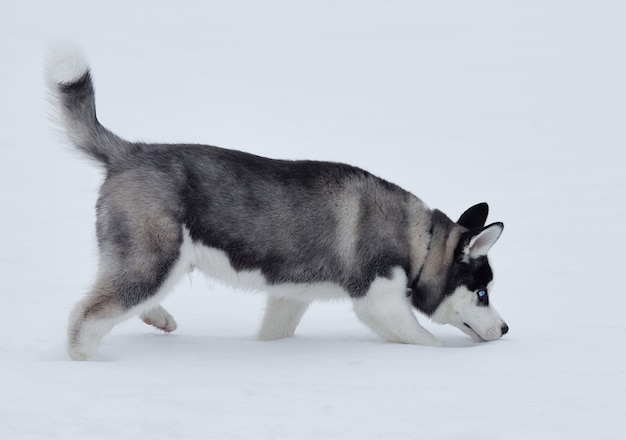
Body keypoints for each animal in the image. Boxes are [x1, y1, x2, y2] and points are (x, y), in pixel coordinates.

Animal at [47, 44, 508, 360]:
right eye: (482, 293)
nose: (504, 329)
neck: (421, 241)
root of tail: (132, 151)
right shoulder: (378, 304)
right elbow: (428, 341)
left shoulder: (290, 296)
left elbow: (274, 334)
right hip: (153, 260)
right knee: (84, 317)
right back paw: (91, 363)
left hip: (149, 261)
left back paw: (156, 317)